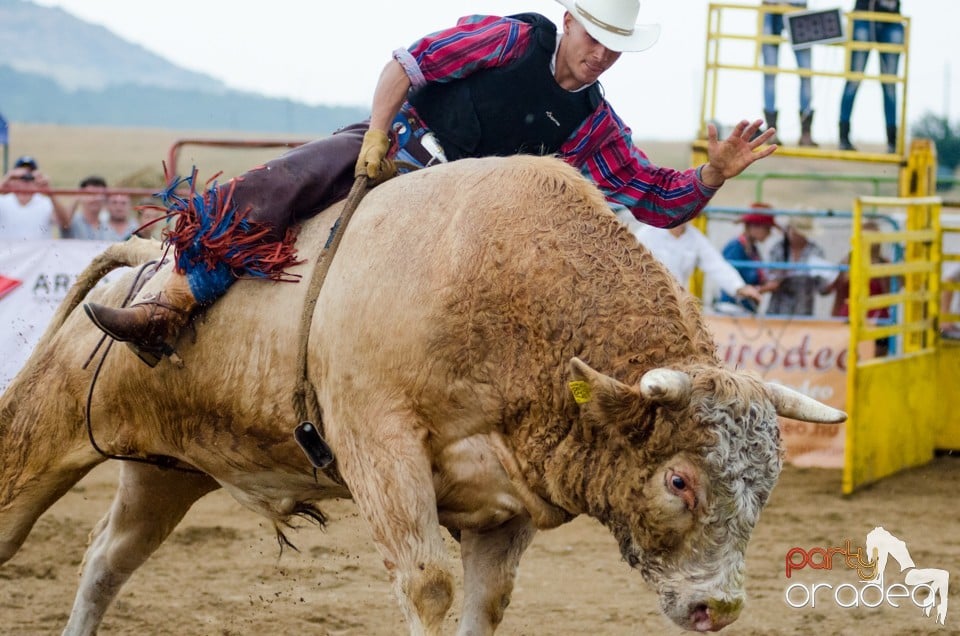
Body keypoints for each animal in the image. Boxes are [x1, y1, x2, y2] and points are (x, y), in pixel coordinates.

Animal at [0, 155, 840, 636]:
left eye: (766, 486)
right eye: (679, 481)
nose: (718, 608)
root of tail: (142, 262)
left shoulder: (505, 505)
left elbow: (485, 602)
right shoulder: (382, 450)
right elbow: (429, 588)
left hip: (163, 473)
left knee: (106, 560)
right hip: (49, 422)